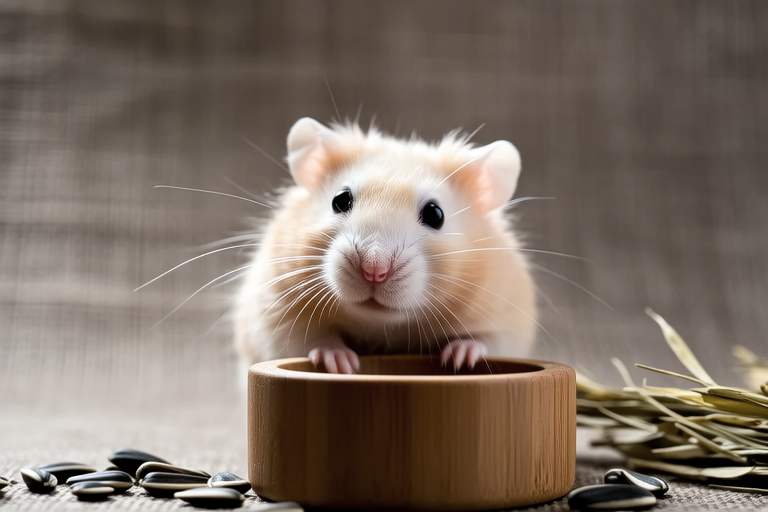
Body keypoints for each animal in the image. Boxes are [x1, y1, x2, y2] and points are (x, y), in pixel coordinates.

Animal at [234, 117, 537, 374]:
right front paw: (341, 363)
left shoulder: (507, 317)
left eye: (435, 214)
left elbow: (489, 340)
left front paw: (460, 358)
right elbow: (308, 338)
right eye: (340, 200)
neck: (382, 325)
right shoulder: (274, 312)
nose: (374, 271)